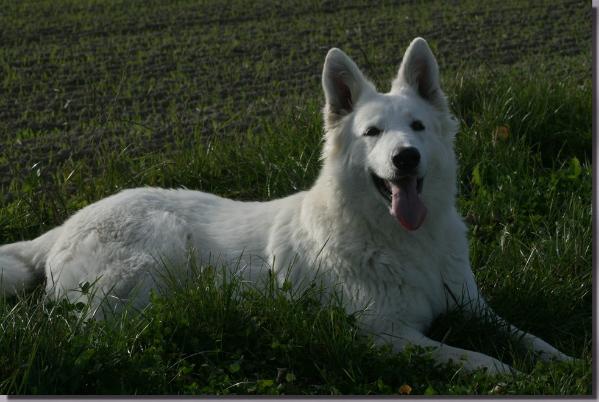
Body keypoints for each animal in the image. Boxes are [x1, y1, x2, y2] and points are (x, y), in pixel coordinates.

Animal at [0, 38, 572, 374]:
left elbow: (528, 337)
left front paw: (561, 361)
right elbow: (474, 357)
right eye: (372, 133)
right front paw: (511, 375)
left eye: (416, 127)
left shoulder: (473, 307)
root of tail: (62, 227)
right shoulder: (381, 333)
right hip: (158, 257)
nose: (405, 157)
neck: (405, 242)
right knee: (91, 326)